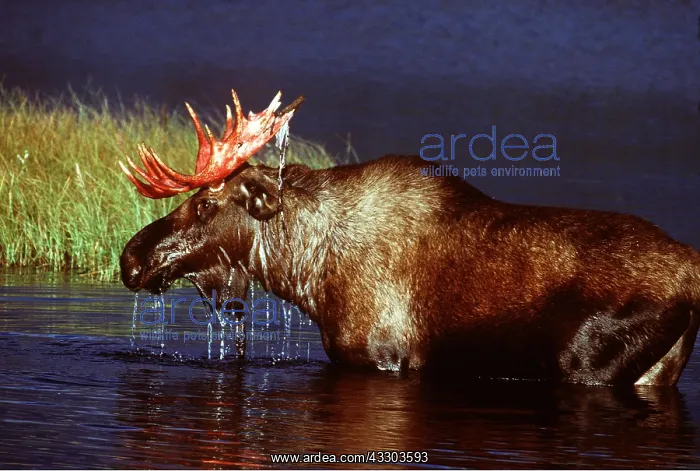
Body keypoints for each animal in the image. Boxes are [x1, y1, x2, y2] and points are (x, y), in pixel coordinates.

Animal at [119, 89, 700, 386]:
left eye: (205, 203)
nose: (130, 258)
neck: (306, 274)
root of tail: (691, 271)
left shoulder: (381, 356)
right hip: (660, 370)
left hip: (586, 363)